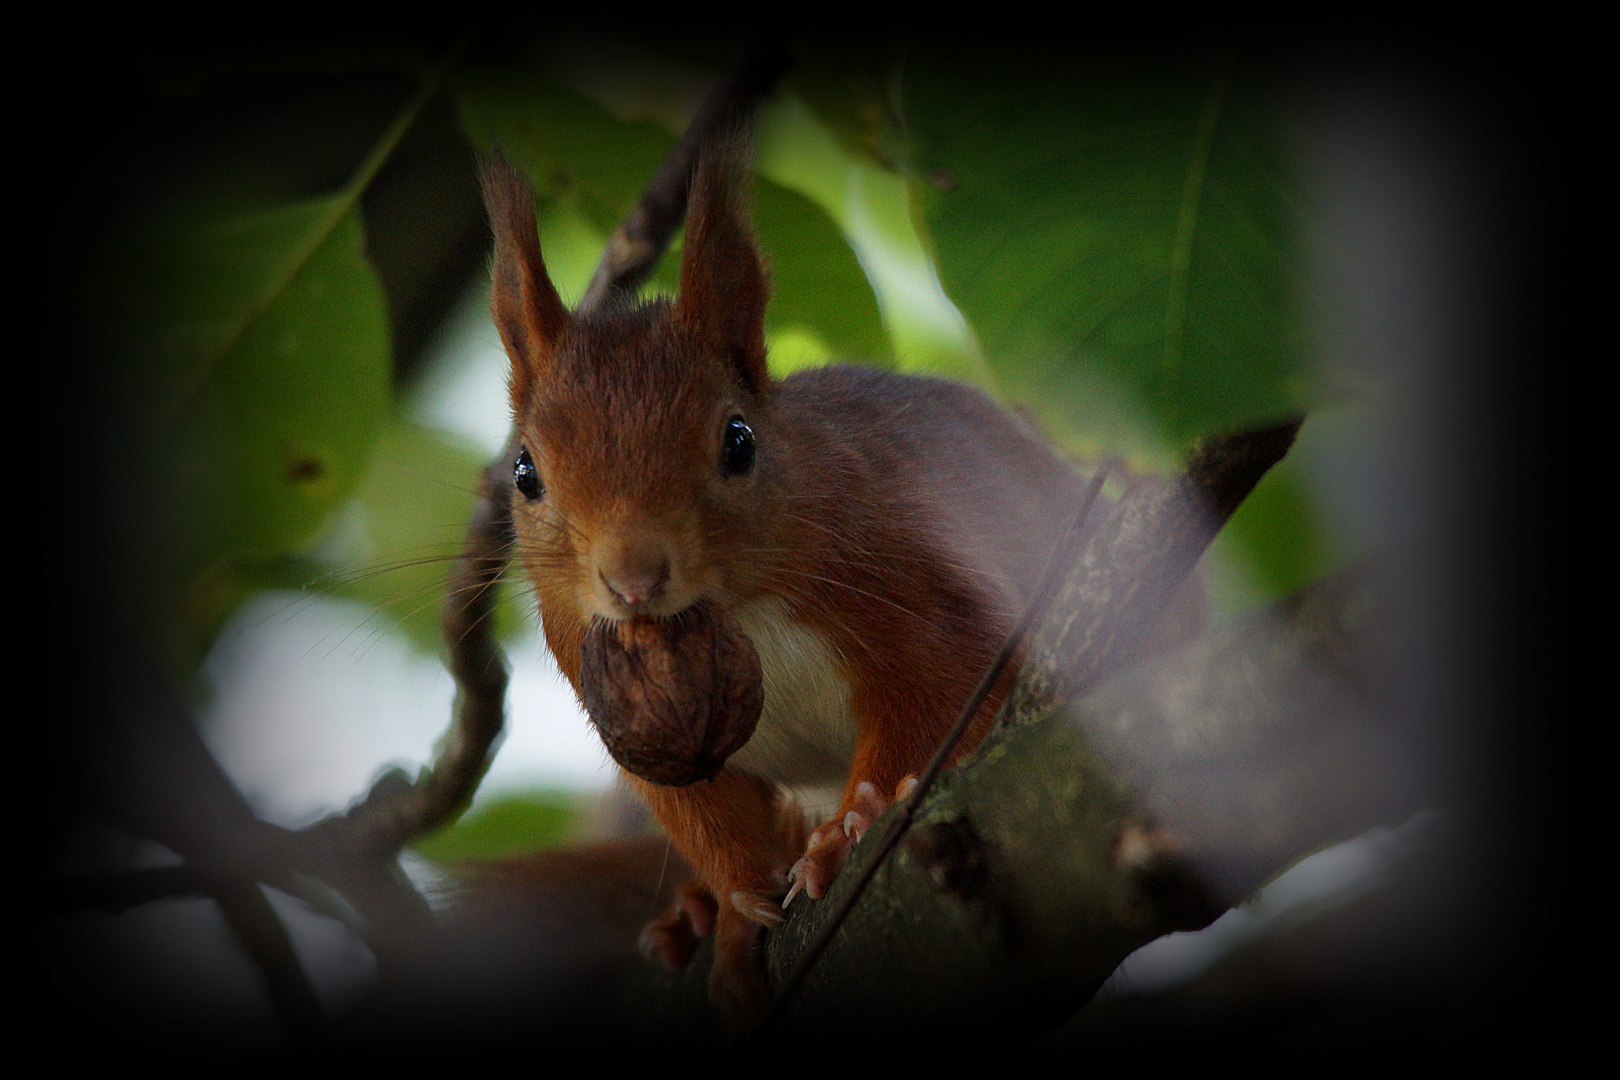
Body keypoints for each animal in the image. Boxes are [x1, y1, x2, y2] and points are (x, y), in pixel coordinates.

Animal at [473, 145, 1121, 1023]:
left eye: (739, 441)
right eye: (525, 472)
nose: (635, 578)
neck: (734, 611)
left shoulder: (925, 585)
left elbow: (945, 690)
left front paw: (853, 825)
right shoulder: (601, 674)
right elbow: (700, 812)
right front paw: (734, 911)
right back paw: (689, 913)